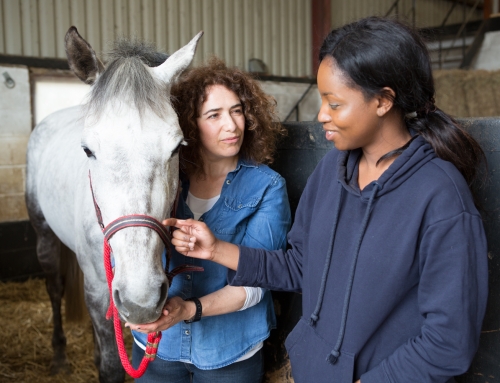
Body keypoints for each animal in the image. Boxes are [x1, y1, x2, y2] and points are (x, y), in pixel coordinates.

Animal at [25, 27, 201, 383]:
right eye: (88, 150)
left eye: (177, 147)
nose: (140, 300)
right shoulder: (99, 289)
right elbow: (110, 365)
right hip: (45, 236)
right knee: (54, 288)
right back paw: (59, 356)